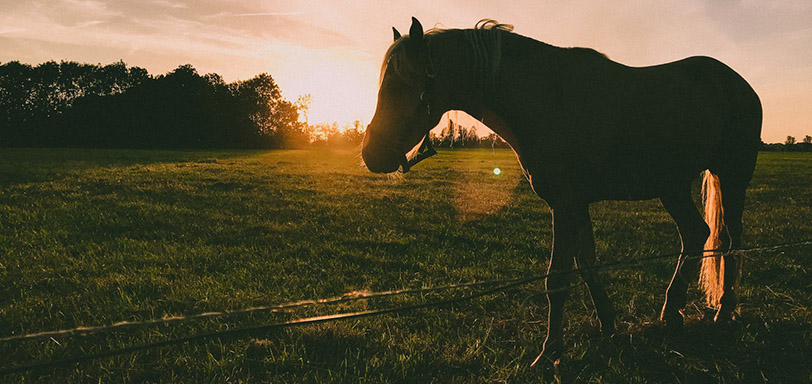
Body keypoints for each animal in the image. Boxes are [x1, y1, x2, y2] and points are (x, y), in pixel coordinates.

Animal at [362, 18, 760, 366]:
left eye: (400, 85)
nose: (370, 154)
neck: (548, 98)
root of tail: (738, 83)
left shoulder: (565, 206)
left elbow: (557, 280)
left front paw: (550, 351)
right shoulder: (575, 206)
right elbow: (587, 267)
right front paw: (609, 326)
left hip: (731, 177)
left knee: (729, 239)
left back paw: (724, 310)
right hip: (672, 186)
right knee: (695, 234)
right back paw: (673, 311)